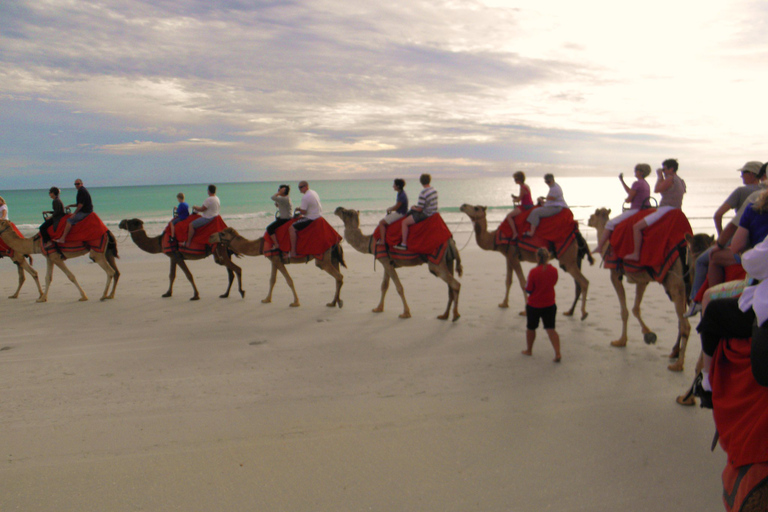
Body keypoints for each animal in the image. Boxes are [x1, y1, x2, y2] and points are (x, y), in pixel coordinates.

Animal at [208, 227, 344, 308]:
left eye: (222, 233)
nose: (210, 237)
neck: (262, 245)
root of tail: (336, 240)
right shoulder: (273, 260)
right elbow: (272, 280)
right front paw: (266, 299)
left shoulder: (277, 260)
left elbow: (289, 280)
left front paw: (295, 302)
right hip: (333, 258)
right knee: (338, 277)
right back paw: (334, 302)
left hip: (323, 259)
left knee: (338, 276)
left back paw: (335, 303)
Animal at [332, 207, 460, 320]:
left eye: (346, 212)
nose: (337, 209)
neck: (371, 242)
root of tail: (450, 240)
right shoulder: (386, 262)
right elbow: (384, 285)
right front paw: (378, 308)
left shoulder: (386, 261)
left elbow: (399, 287)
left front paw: (406, 313)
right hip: (448, 261)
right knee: (450, 288)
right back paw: (445, 315)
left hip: (436, 262)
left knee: (455, 284)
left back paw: (455, 316)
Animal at [460, 203, 592, 316]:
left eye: (476, 208)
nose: (463, 205)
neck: (495, 238)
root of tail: (577, 235)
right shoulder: (508, 256)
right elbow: (508, 280)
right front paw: (504, 303)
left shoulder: (513, 256)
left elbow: (523, 283)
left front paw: (525, 311)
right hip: (575, 258)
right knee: (578, 284)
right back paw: (570, 312)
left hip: (567, 259)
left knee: (584, 281)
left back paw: (583, 313)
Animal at [592, 208, 692, 372]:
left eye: (592, 215)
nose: (588, 220)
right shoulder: (642, 279)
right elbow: (635, 308)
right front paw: (649, 335)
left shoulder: (614, 273)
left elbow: (625, 310)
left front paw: (621, 340)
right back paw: (676, 354)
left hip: (675, 281)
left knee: (686, 324)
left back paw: (678, 364)